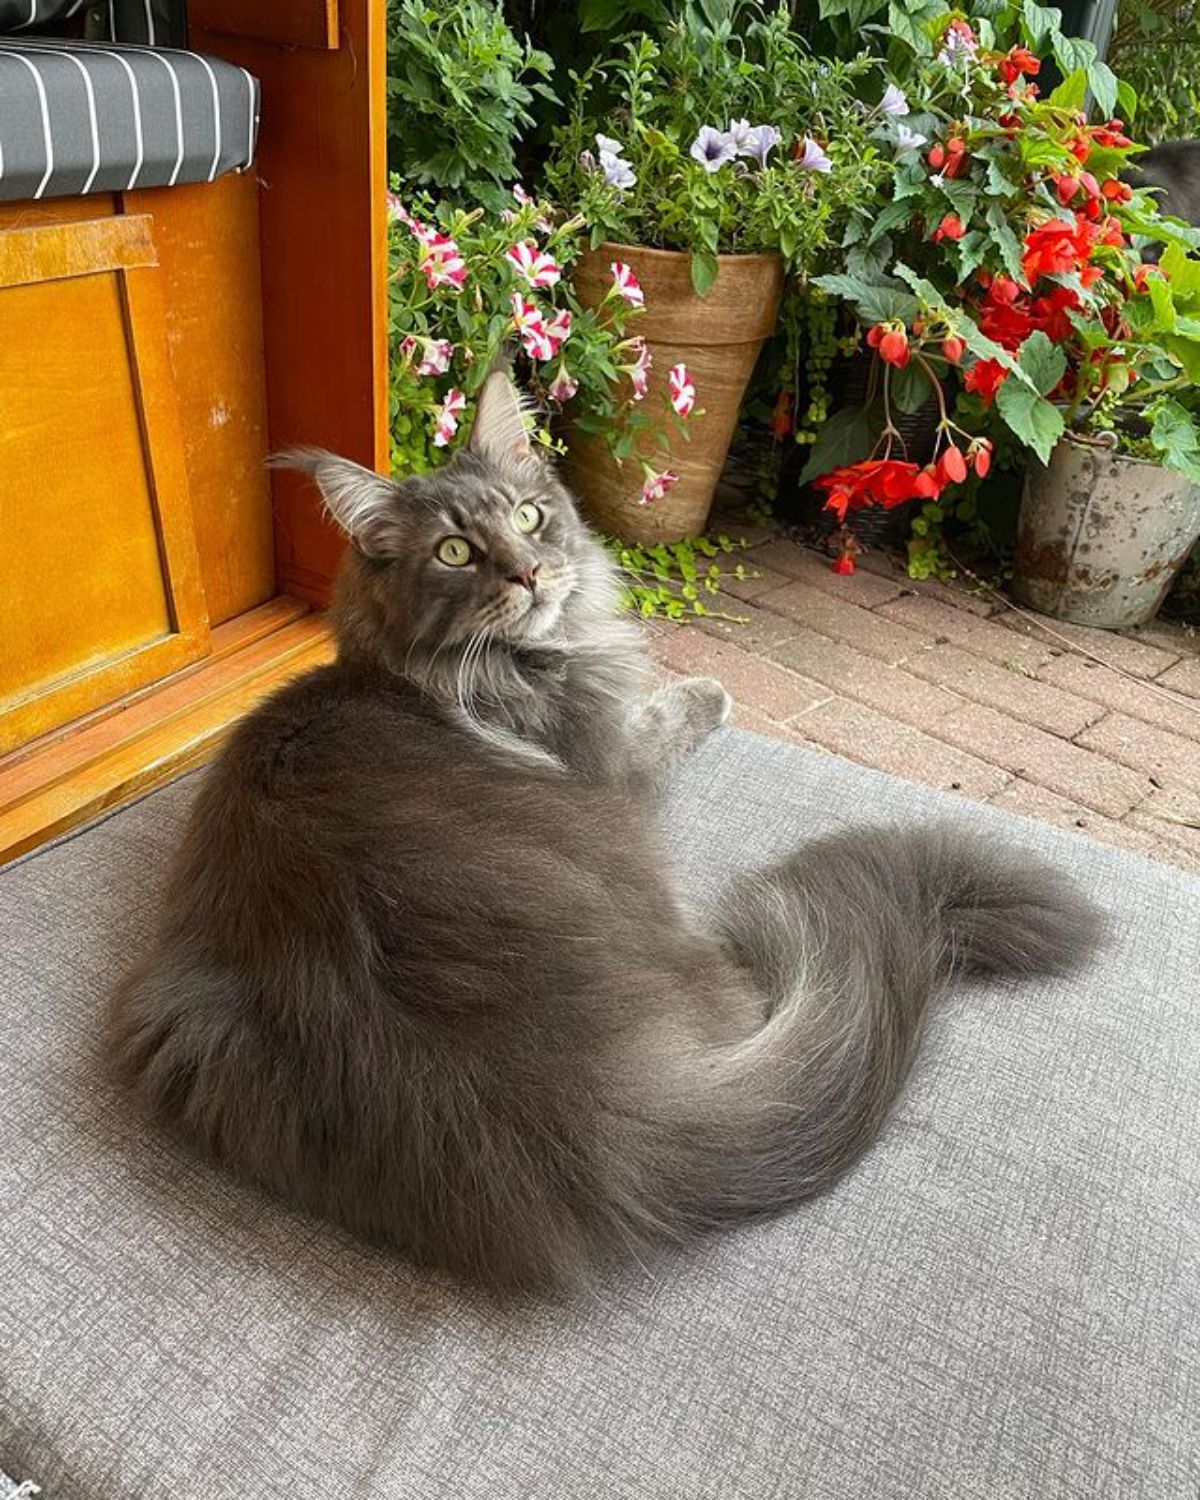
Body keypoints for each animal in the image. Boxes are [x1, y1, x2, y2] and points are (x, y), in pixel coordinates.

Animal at [108, 372, 1104, 1290]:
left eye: (529, 515)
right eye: (456, 551)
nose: (529, 572)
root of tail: (573, 1111)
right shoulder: (616, 762)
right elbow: (671, 713)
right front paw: (710, 691)